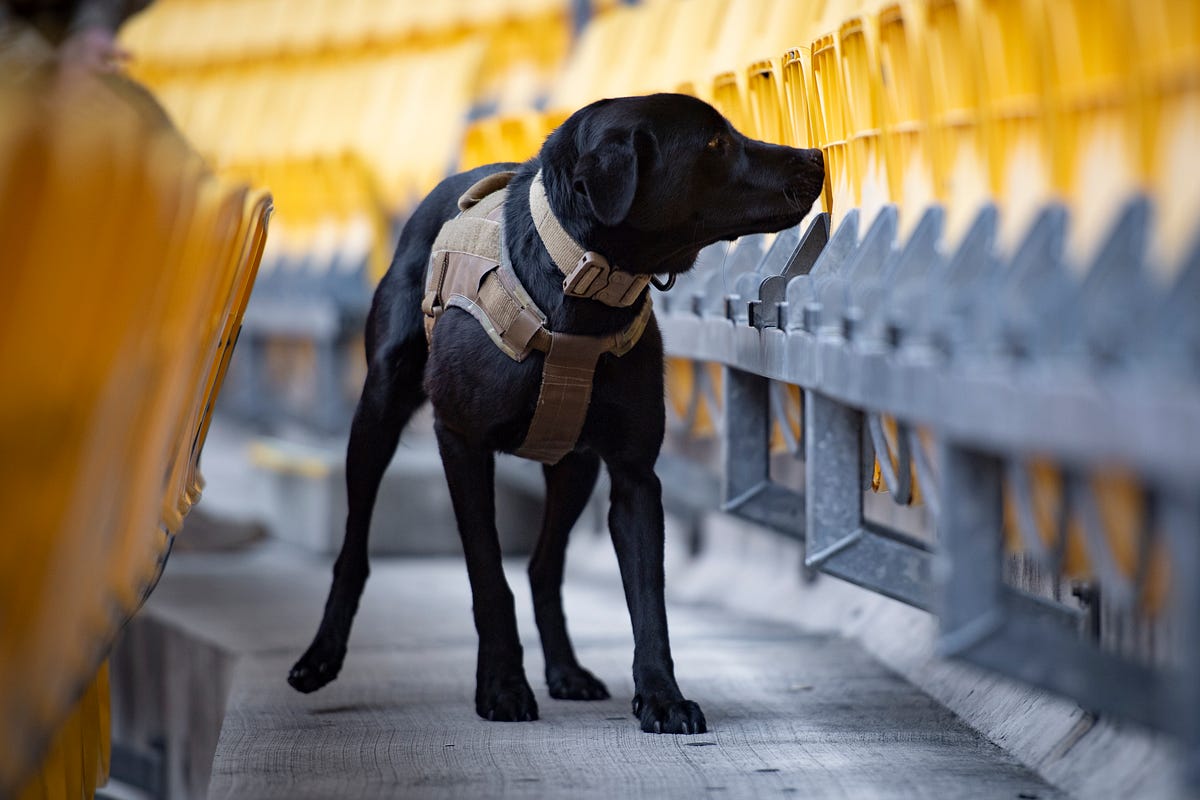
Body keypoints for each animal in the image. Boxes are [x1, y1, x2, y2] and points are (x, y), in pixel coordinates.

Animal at [288, 90, 825, 734]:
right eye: (715, 143)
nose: (818, 158)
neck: (579, 280)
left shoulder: (634, 476)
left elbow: (649, 600)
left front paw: (662, 696)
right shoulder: (460, 441)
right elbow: (488, 576)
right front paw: (501, 685)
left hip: (574, 465)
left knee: (544, 567)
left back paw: (567, 671)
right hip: (377, 412)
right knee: (355, 547)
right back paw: (320, 656)